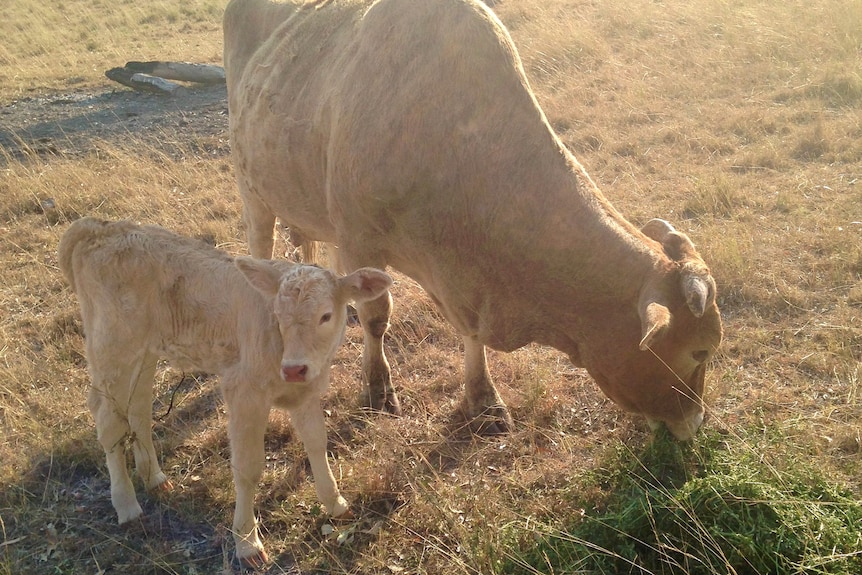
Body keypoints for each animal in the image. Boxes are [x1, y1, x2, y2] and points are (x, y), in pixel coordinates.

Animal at [56, 217, 388, 568]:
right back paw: (126, 504)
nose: (294, 368)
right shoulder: (243, 392)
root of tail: (100, 226)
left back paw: (154, 477)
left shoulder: (308, 392)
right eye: (278, 316)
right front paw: (247, 542)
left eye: (325, 315)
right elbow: (248, 468)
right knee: (108, 420)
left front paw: (336, 503)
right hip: (111, 347)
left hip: (144, 351)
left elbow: (316, 443)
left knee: (138, 409)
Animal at [226, 0, 724, 440]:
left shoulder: (468, 282)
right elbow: (376, 318)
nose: (695, 423)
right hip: (251, 186)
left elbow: (469, 333)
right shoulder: (359, 238)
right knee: (260, 246)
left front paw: (484, 400)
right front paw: (377, 389)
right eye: (700, 349)